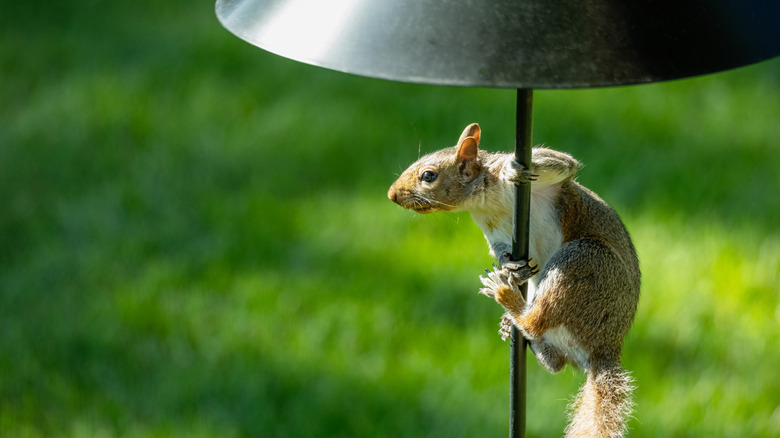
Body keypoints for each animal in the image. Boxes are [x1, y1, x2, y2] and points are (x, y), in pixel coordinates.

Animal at [387, 123, 640, 438]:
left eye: (428, 176)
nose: (391, 194)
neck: (485, 201)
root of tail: (605, 348)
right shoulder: (495, 232)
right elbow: (501, 251)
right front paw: (510, 266)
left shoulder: (549, 182)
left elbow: (563, 163)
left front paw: (511, 169)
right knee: (555, 360)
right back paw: (519, 328)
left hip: (584, 261)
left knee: (537, 321)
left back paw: (507, 298)